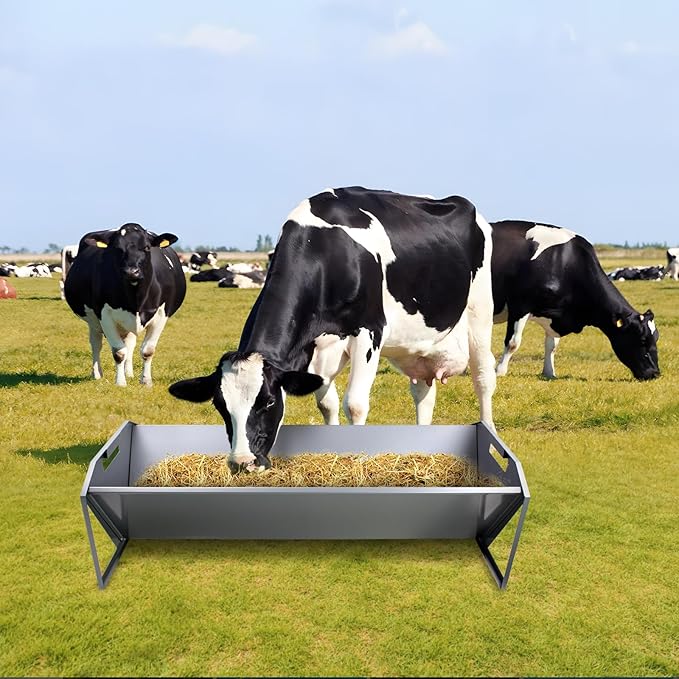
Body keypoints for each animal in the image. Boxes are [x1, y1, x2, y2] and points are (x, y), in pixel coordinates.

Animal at [64, 223, 186, 386]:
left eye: (147, 247)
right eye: (117, 248)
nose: (131, 272)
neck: (136, 298)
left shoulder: (161, 315)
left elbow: (147, 350)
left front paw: (146, 381)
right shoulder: (105, 315)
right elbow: (118, 352)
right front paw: (120, 382)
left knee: (130, 344)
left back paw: (129, 373)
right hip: (93, 320)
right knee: (96, 343)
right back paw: (97, 374)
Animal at [169, 186, 497, 470]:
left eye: (268, 401)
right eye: (220, 405)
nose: (242, 463)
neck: (322, 250)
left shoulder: (370, 331)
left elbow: (355, 404)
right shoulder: (316, 346)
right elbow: (327, 404)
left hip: (480, 314)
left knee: (483, 378)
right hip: (418, 347)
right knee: (423, 393)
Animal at [491, 220, 660, 380]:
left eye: (656, 338)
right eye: (642, 340)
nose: (655, 373)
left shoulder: (554, 313)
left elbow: (552, 345)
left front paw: (549, 373)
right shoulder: (520, 305)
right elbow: (513, 342)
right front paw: (499, 371)